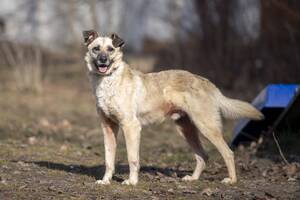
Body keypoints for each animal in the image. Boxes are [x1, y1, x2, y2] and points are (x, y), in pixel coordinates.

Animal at [83, 30, 264, 186]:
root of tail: (206, 81)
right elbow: (108, 159)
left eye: (110, 49)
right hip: (186, 130)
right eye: (96, 49)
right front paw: (106, 180)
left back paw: (231, 180)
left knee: (228, 153)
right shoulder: (108, 127)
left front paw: (132, 181)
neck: (108, 81)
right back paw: (193, 178)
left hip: (206, 127)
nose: (103, 60)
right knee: (202, 156)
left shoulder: (131, 126)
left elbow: (132, 158)